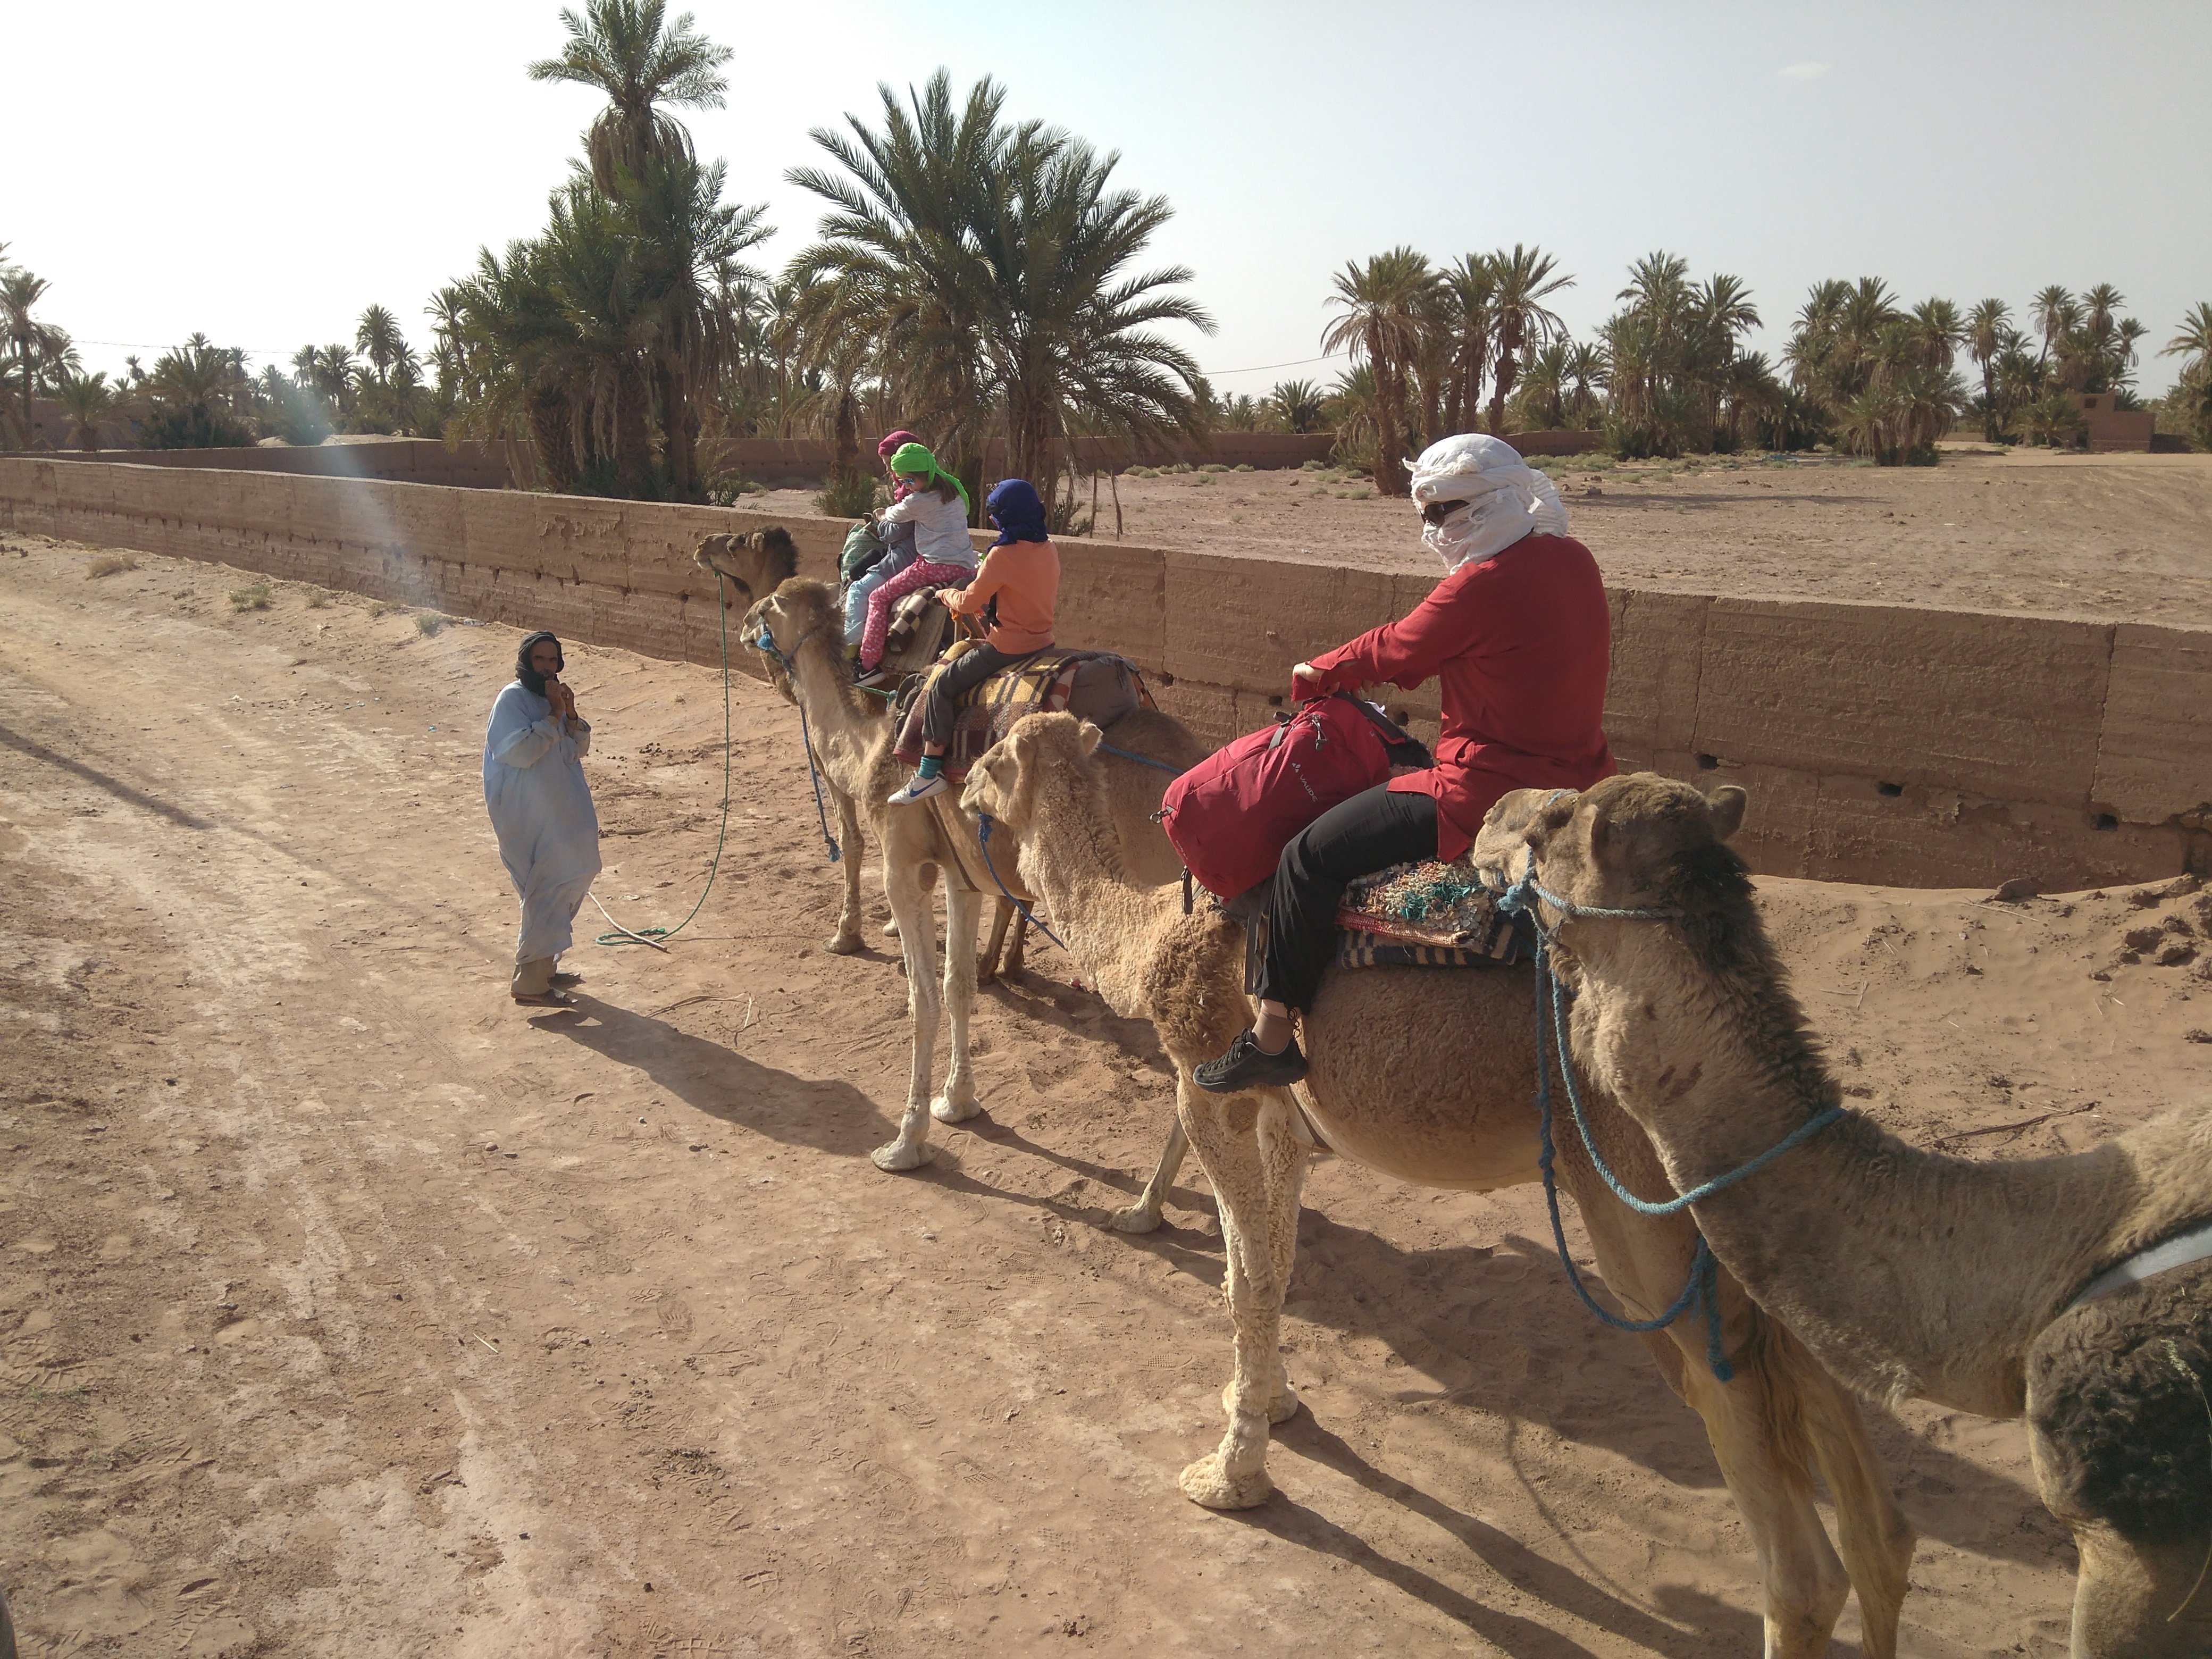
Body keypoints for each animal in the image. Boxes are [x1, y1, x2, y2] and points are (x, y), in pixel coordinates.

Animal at [721, 579, 1212, 1185]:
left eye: (768, 606)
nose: (742, 624)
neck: (874, 747)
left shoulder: (903, 866)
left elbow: (922, 998)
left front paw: (905, 1143)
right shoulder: (963, 876)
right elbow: (959, 986)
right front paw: (957, 1102)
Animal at [964, 716, 1920, 1659]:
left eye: (993, 754)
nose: (959, 782)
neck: (1150, 933)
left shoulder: (1211, 1084)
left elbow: (1246, 1279)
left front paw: (1230, 1476)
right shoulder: (1280, 1112)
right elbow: (1273, 1263)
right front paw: (1267, 1401)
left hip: (1640, 1197)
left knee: (1800, 1566)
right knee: (1874, 1515)